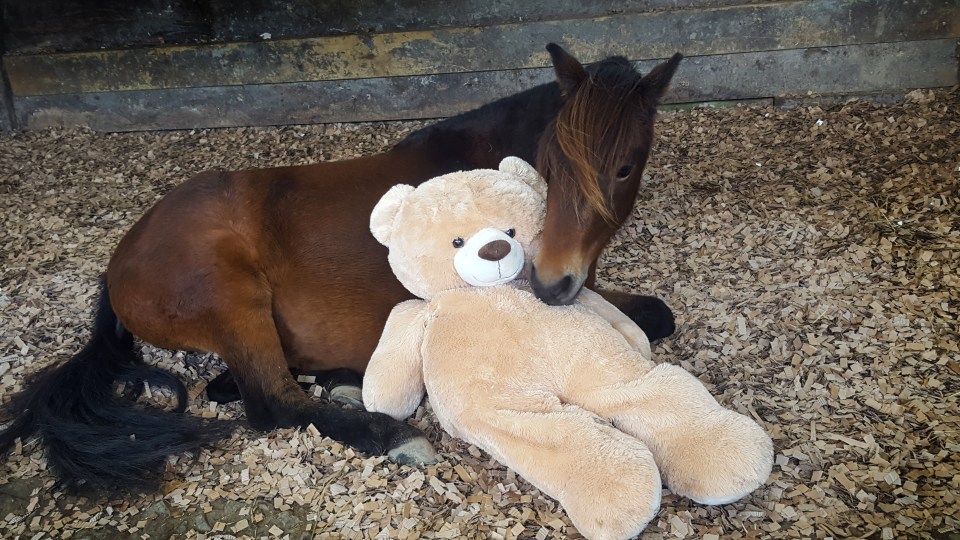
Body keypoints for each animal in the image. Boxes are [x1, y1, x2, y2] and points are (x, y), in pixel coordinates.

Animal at [0, 44, 684, 488]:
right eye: (553, 161)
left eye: (625, 167)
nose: (549, 281)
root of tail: (119, 262)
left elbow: (660, 314)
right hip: (230, 293)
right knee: (271, 403)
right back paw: (388, 433)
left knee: (235, 386)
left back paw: (343, 381)